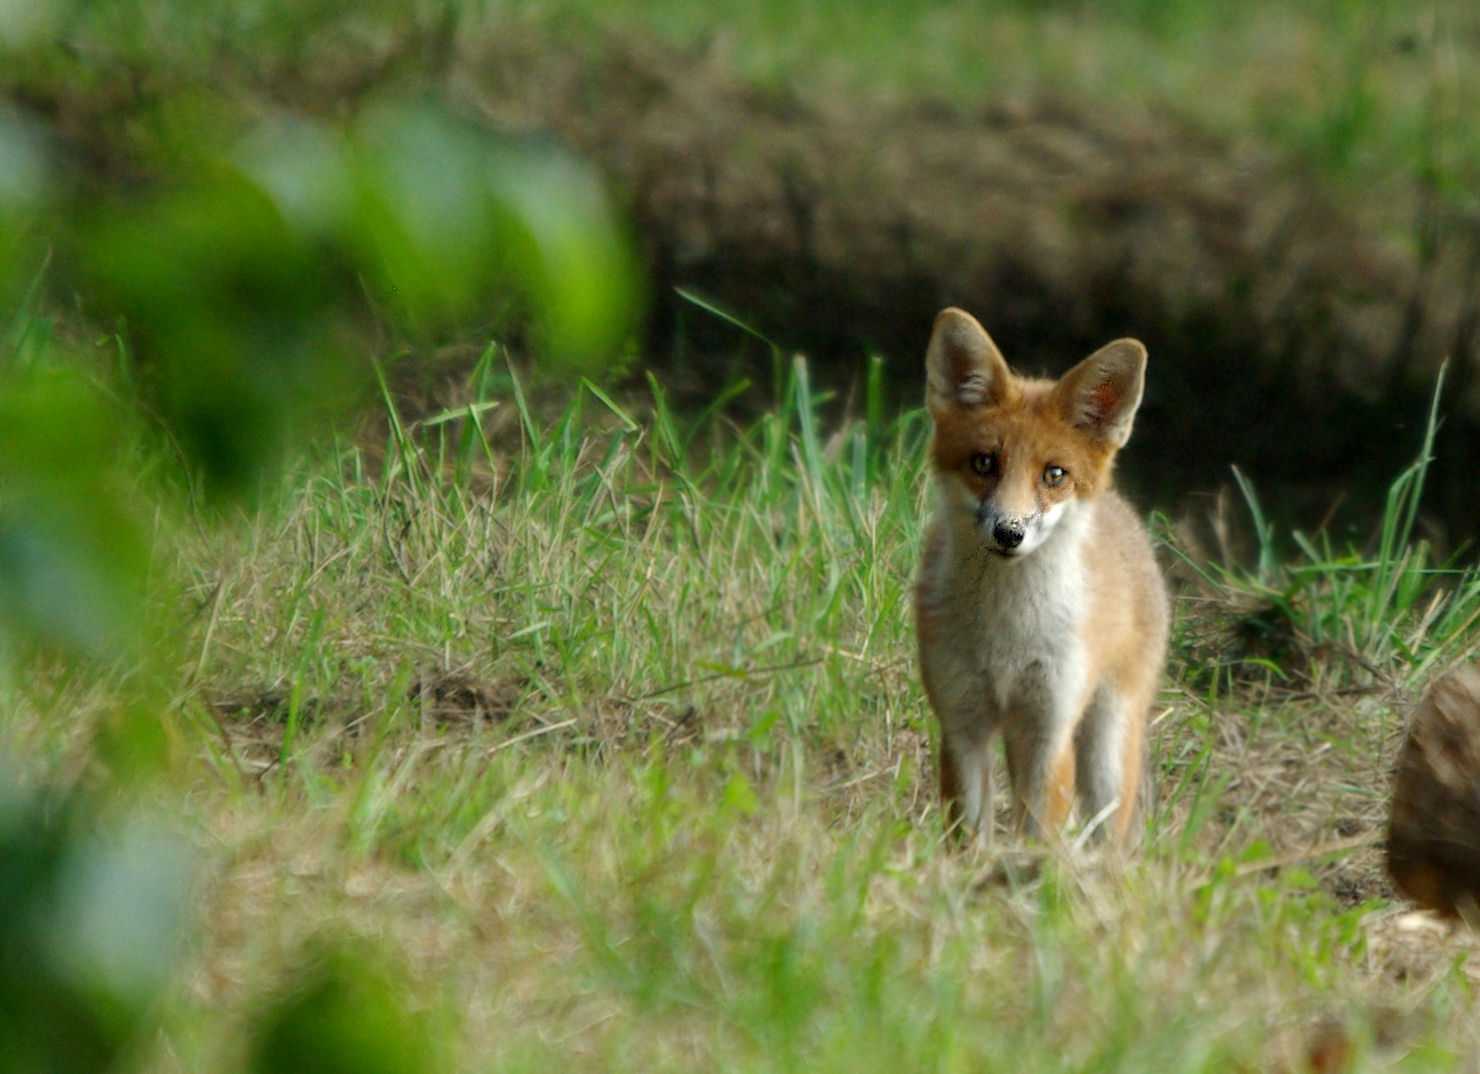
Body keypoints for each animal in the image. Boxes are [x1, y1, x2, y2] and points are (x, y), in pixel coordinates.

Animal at [911, 307, 1166, 846]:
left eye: (1054, 475)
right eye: (984, 463)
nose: (1009, 533)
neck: (1006, 639)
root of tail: (1125, 509)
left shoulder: (1050, 730)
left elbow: (1040, 837)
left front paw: (1032, 872)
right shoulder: (962, 723)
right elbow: (967, 840)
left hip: (1106, 750)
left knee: (1109, 839)